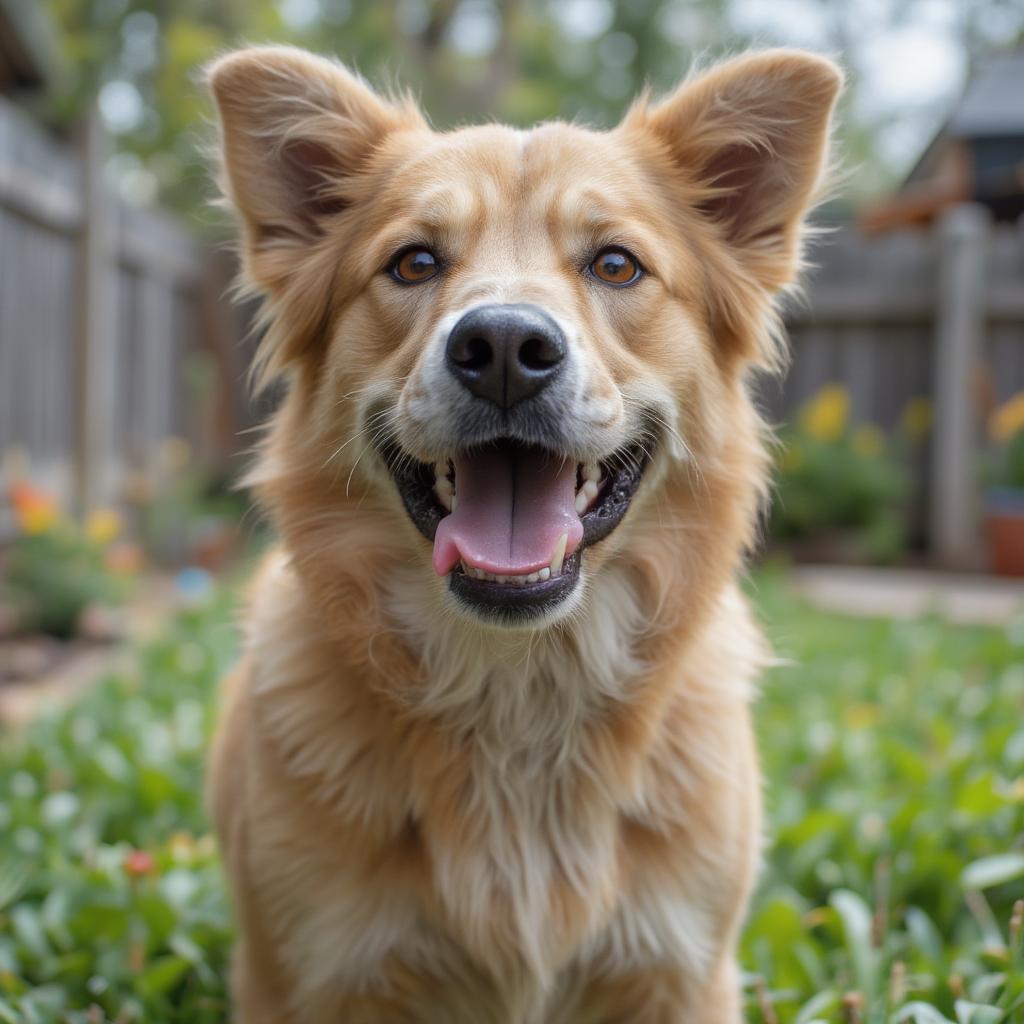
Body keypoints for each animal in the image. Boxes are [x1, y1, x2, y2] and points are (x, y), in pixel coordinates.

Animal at [205, 44, 839, 1019]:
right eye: (414, 262)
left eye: (616, 265)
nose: (503, 347)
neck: (517, 690)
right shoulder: (307, 973)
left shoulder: (683, 972)